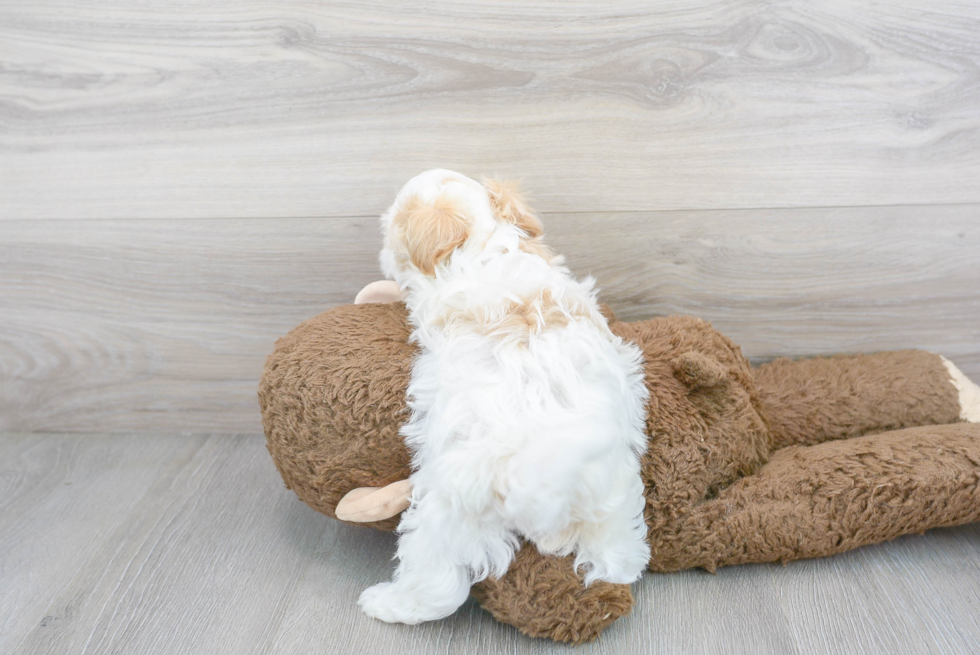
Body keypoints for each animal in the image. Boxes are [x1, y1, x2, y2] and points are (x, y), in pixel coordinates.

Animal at [356, 169, 648, 624]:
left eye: (391, 227)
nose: (382, 252)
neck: (486, 242)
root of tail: (544, 486)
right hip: (615, 500)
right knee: (620, 559)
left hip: (449, 508)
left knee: (439, 583)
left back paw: (387, 603)